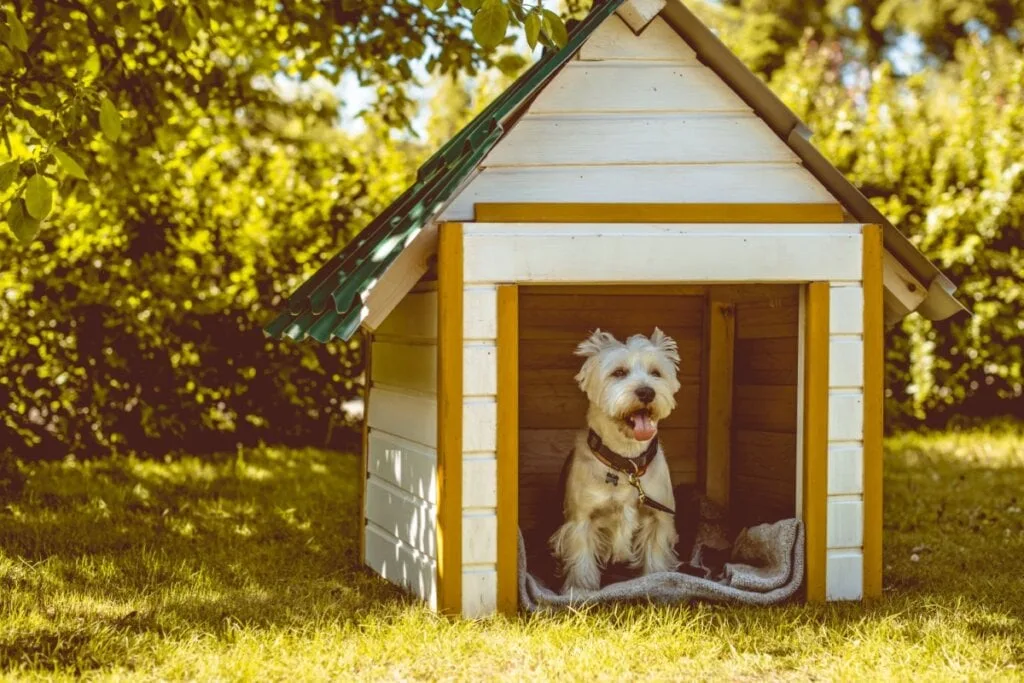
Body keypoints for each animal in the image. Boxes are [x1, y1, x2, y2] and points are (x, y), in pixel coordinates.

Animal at [548, 327, 684, 593]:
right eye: (618, 372)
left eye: (656, 373)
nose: (646, 391)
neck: (627, 463)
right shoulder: (581, 519)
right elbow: (582, 559)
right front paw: (580, 589)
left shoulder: (659, 518)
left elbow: (655, 556)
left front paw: (658, 582)